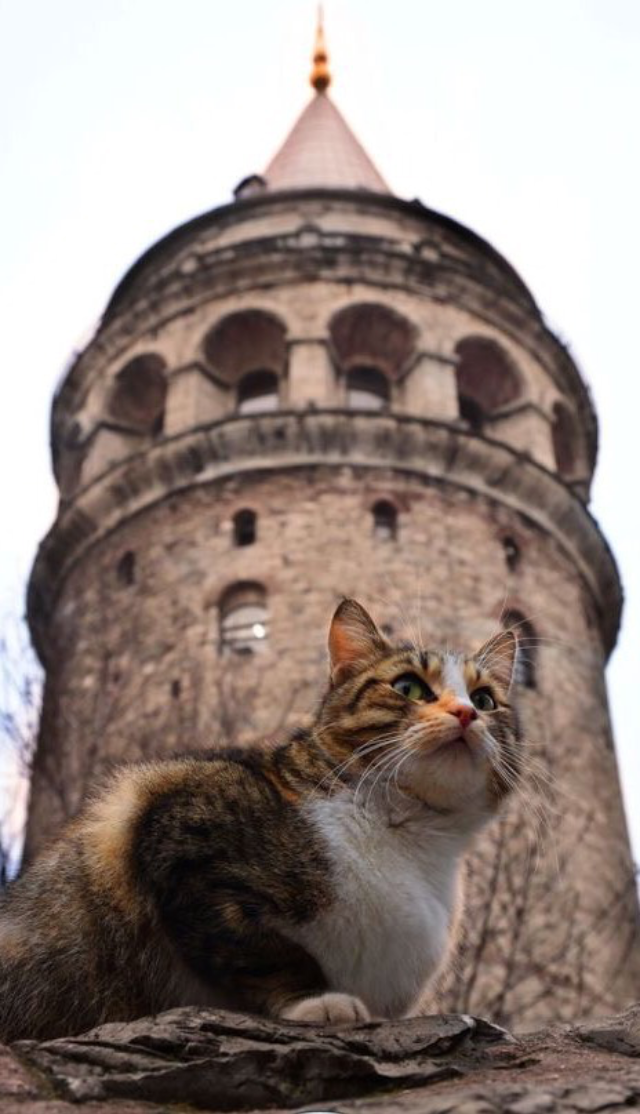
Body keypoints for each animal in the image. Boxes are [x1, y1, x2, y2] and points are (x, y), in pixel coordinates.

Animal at [0, 599, 519, 1042]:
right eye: (408, 687)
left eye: (485, 700)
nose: (466, 712)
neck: (413, 836)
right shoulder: (172, 821)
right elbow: (258, 947)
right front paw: (316, 1001)